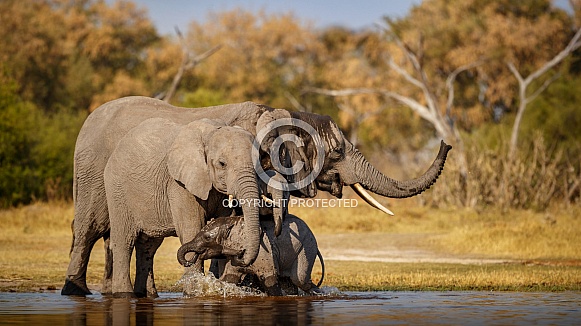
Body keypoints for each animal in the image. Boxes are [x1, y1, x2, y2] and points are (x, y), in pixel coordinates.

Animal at [177, 213, 322, 296]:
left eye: (207, 238)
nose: (192, 257)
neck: (232, 222)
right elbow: (230, 278)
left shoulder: (263, 251)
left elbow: (269, 279)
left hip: (307, 247)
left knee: (299, 279)